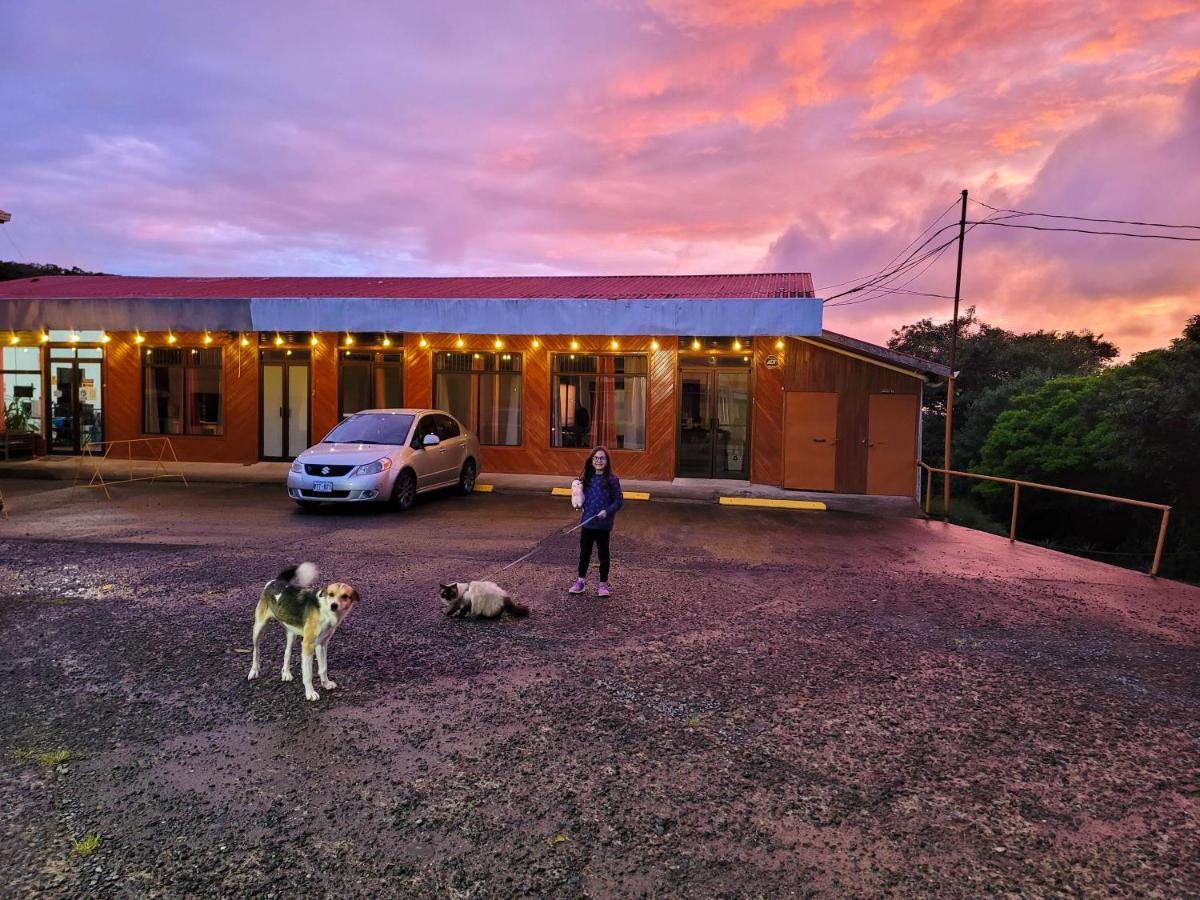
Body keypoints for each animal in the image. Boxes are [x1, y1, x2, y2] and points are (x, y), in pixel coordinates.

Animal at [243, 564, 355, 705]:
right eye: (331, 594)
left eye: (345, 596)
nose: (333, 605)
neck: (323, 610)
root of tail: (275, 581)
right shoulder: (307, 645)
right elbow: (308, 674)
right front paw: (310, 693)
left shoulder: (322, 644)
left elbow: (323, 668)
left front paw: (326, 684)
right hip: (259, 628)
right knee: (256, 650)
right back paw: (254, 671)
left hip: (292, 633)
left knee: (287, 652)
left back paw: (286, 673)